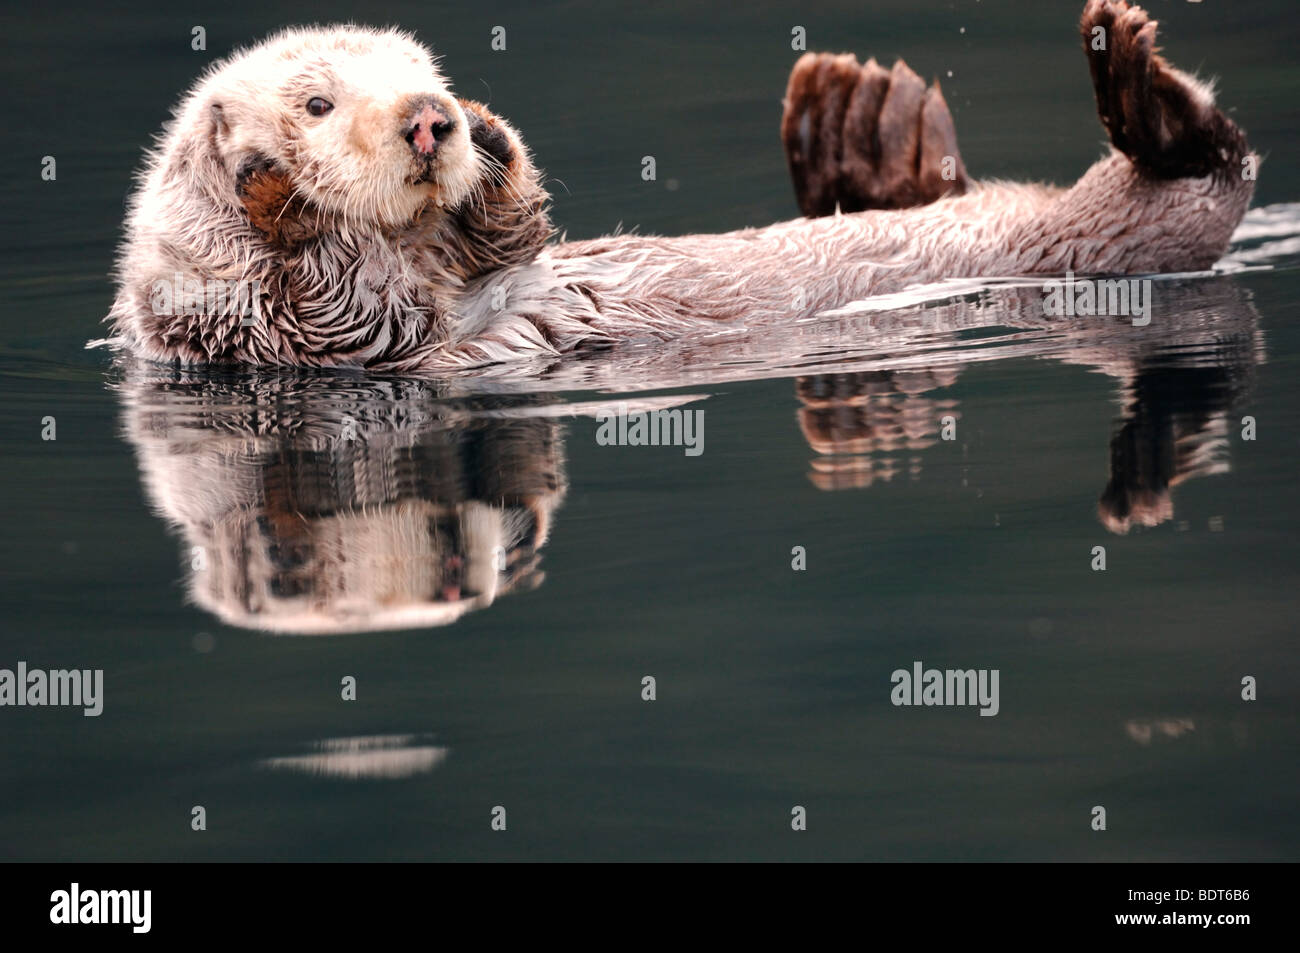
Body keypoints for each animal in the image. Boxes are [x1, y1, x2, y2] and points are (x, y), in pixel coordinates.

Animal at [106, 0, 1256, 372]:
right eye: (316, 102)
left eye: (417, 67)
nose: (432, 114)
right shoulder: (296, 332)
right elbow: (351, 300)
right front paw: (272, 192)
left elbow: (514, 232)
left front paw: (494, 141)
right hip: (1128, 220)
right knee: (1206, 159)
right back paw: (1131, 78)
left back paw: (856, 115)